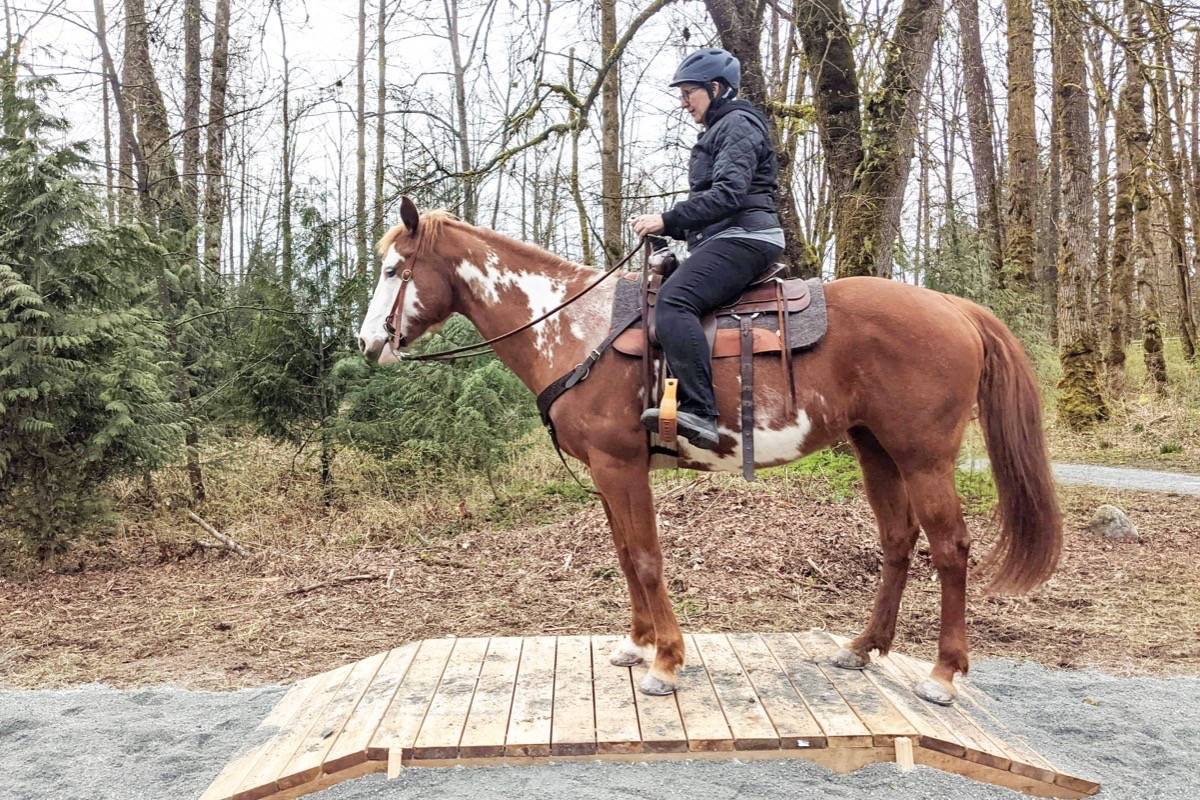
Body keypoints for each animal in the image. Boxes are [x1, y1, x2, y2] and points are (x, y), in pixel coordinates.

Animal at [355, 199, 1060, 705]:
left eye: (393, 271)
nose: (367, 344)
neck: (574, 328)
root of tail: (955, 308)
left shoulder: (619, 466)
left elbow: (645, 558)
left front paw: (665, 662)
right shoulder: (610, 474)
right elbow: (625, 554)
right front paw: (638, 644)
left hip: (923, 457)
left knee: (951, 549)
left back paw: (943, 673)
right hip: (876, 451)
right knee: (897, 541)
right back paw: (863, 646)